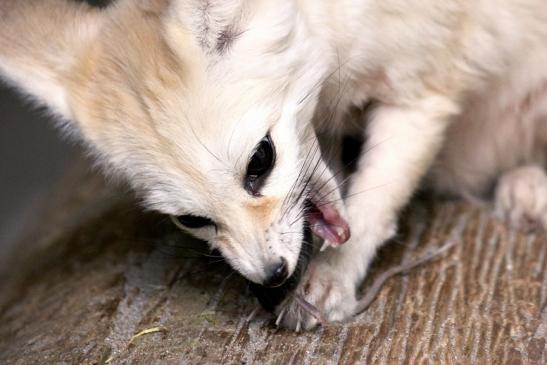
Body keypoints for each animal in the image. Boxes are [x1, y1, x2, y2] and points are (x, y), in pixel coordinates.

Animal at [1, 0, 547, 330]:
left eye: (260, 161)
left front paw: (331, 280)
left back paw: (528, 184)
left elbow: (372, 209)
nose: (272, 277)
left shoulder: (419, 98)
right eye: (191, 220)